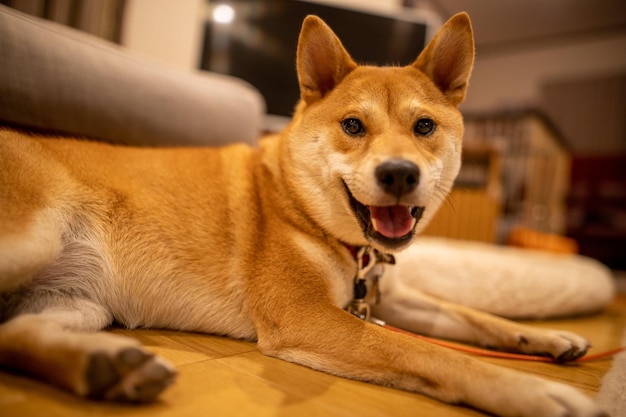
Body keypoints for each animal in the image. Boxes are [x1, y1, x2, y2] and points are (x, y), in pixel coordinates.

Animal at [0, 13, 604, 416]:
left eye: (425, 127)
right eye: (353, 125)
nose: (399, 174)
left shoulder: (388, 296)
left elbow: (471, 316)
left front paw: (546, 339)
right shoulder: (305, 316)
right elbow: (429, 352)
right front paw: (535, 392)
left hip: (78, 302)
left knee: (13, 337)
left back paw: (106, 369)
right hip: (32, 241)